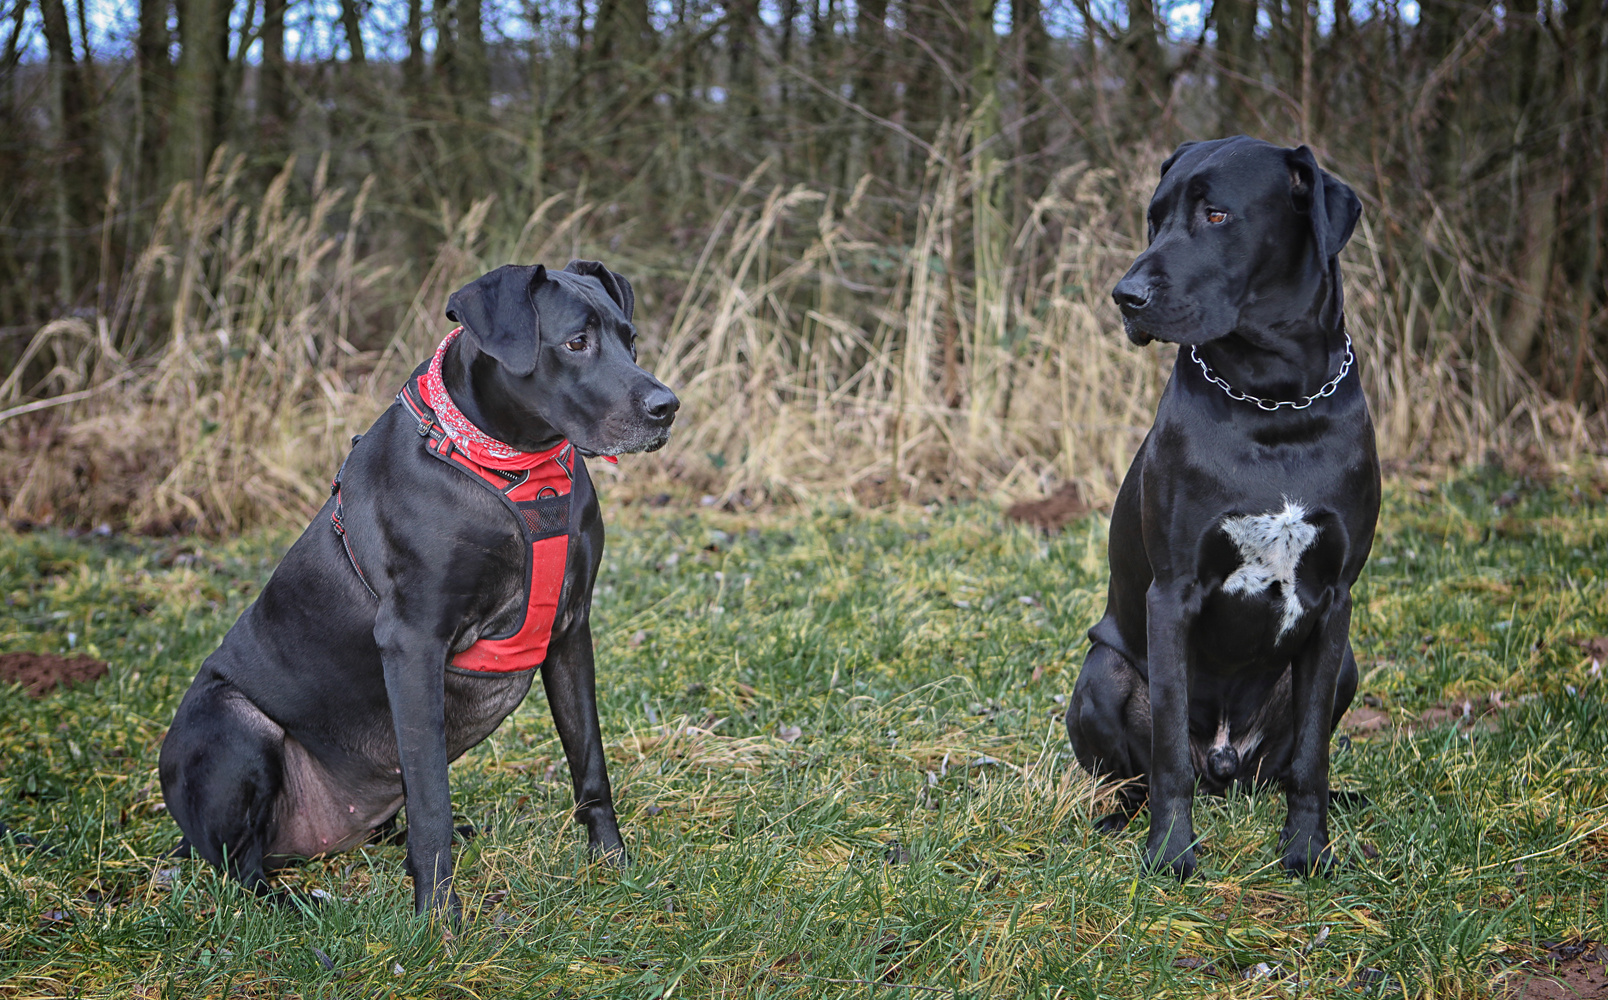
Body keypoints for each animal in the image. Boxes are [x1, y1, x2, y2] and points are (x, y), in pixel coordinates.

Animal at [156, 262, 672, 919]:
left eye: (630, 339)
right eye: (576, 343)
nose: (667, 406)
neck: (516, 465)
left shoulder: (570, 628)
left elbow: (590, 763)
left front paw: (612, 865)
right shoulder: (413, 644)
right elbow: (431, 798)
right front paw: (437, 918)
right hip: (230, 722)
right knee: (238, 870)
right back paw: (296, 906)